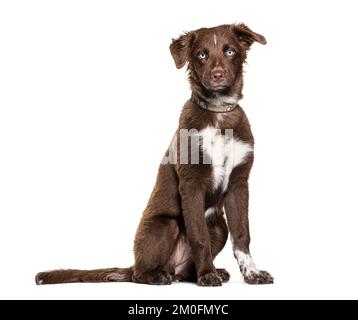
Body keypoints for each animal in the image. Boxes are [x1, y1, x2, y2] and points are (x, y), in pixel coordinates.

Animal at [36, 23, 272, 286]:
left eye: (230, 51)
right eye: (202, 55)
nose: (217, 75)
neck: (218, 114)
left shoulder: (239, 183)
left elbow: (242, 235)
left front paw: (252, 273)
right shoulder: (191, 183)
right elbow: (199, 237)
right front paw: (207, 275)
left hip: (219, 226)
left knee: (187, 269)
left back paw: (207, 271)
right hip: (164, 226)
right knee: (140, 273)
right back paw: (160, 275)